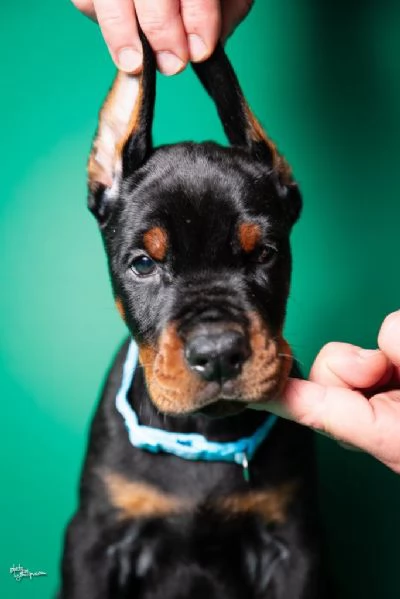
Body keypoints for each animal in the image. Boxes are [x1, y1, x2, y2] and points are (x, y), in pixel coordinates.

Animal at [58, 36, 328, 599]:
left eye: (264, 253)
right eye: (143, 264)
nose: (219, 353)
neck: (199, 434)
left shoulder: (294, 545)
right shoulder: (92, 539)